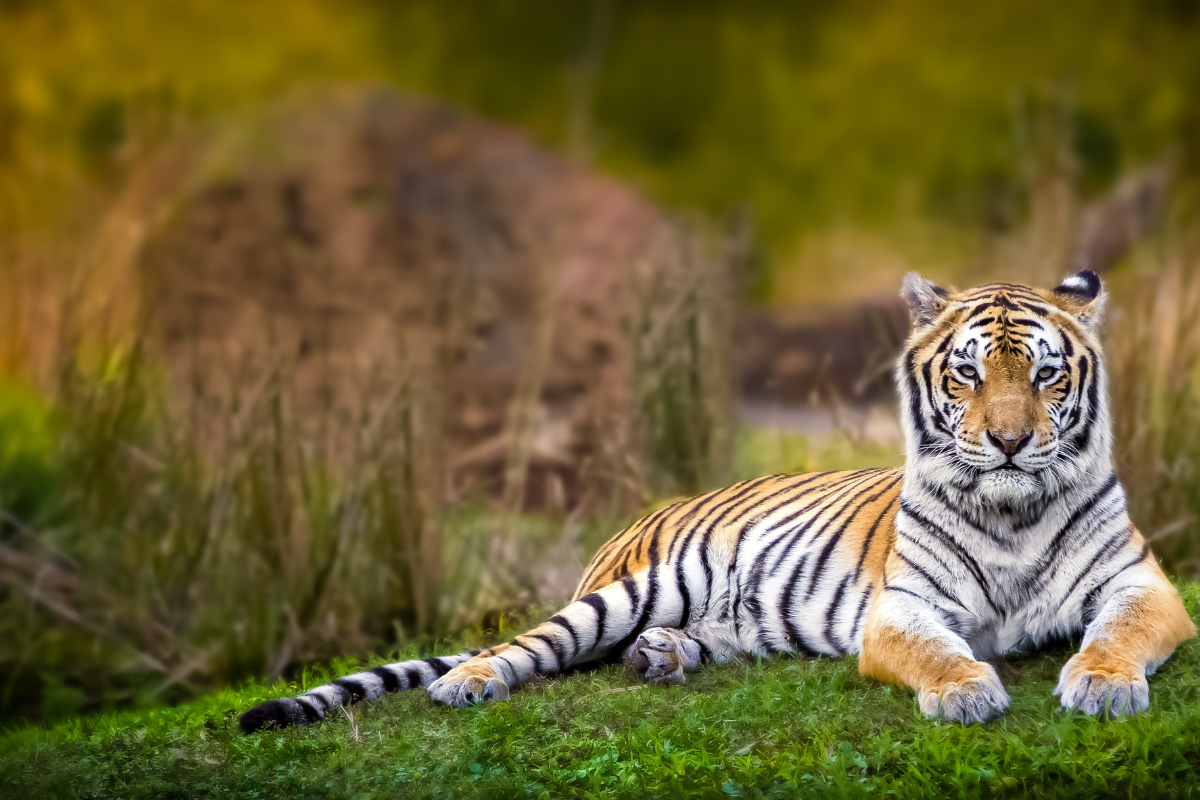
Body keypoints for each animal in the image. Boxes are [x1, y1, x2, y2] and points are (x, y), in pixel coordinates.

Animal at [240, 269, 1195, 732]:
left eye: (1044, 374)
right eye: (967, 374)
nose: (1007, 441)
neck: (1011, 511)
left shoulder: (1143, 584)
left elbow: (1118, 633)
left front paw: (1102, 686)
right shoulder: (905, 607)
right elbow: (936, 652)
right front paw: (966, 693)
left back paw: (662, 657)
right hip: (634, 588)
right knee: (531, 645)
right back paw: (469, 682)